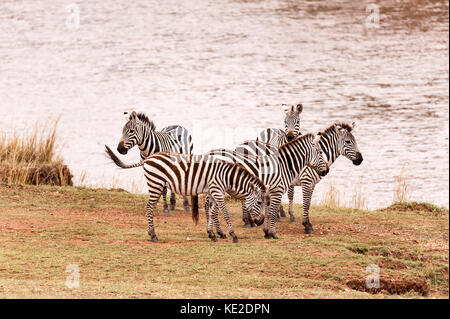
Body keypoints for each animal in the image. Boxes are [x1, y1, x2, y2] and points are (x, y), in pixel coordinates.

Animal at [140, 152, 268, 242]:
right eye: (259, 202)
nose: (261, 221)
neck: (226, 177)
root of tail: (149, 158)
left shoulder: (213, 192)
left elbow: (211, 212)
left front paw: (212, 234)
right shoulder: (217, 191)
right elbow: (225, 213)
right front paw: (233, 235)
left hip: (158, 185)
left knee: (151, 207)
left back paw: (151, 233)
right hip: (156, 183)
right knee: (149, 207)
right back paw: (153, 235)